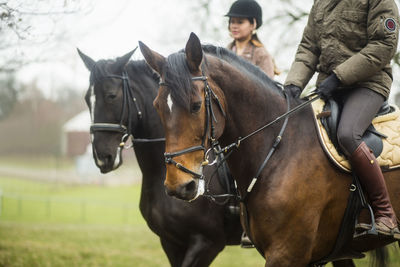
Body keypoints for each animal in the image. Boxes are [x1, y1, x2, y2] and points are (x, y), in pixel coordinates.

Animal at [138, 34, 396, 267]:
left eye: (196, 105)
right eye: (157, 106)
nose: (179, 186)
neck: (280, 149)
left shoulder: (282, 253)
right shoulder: (173, 244)